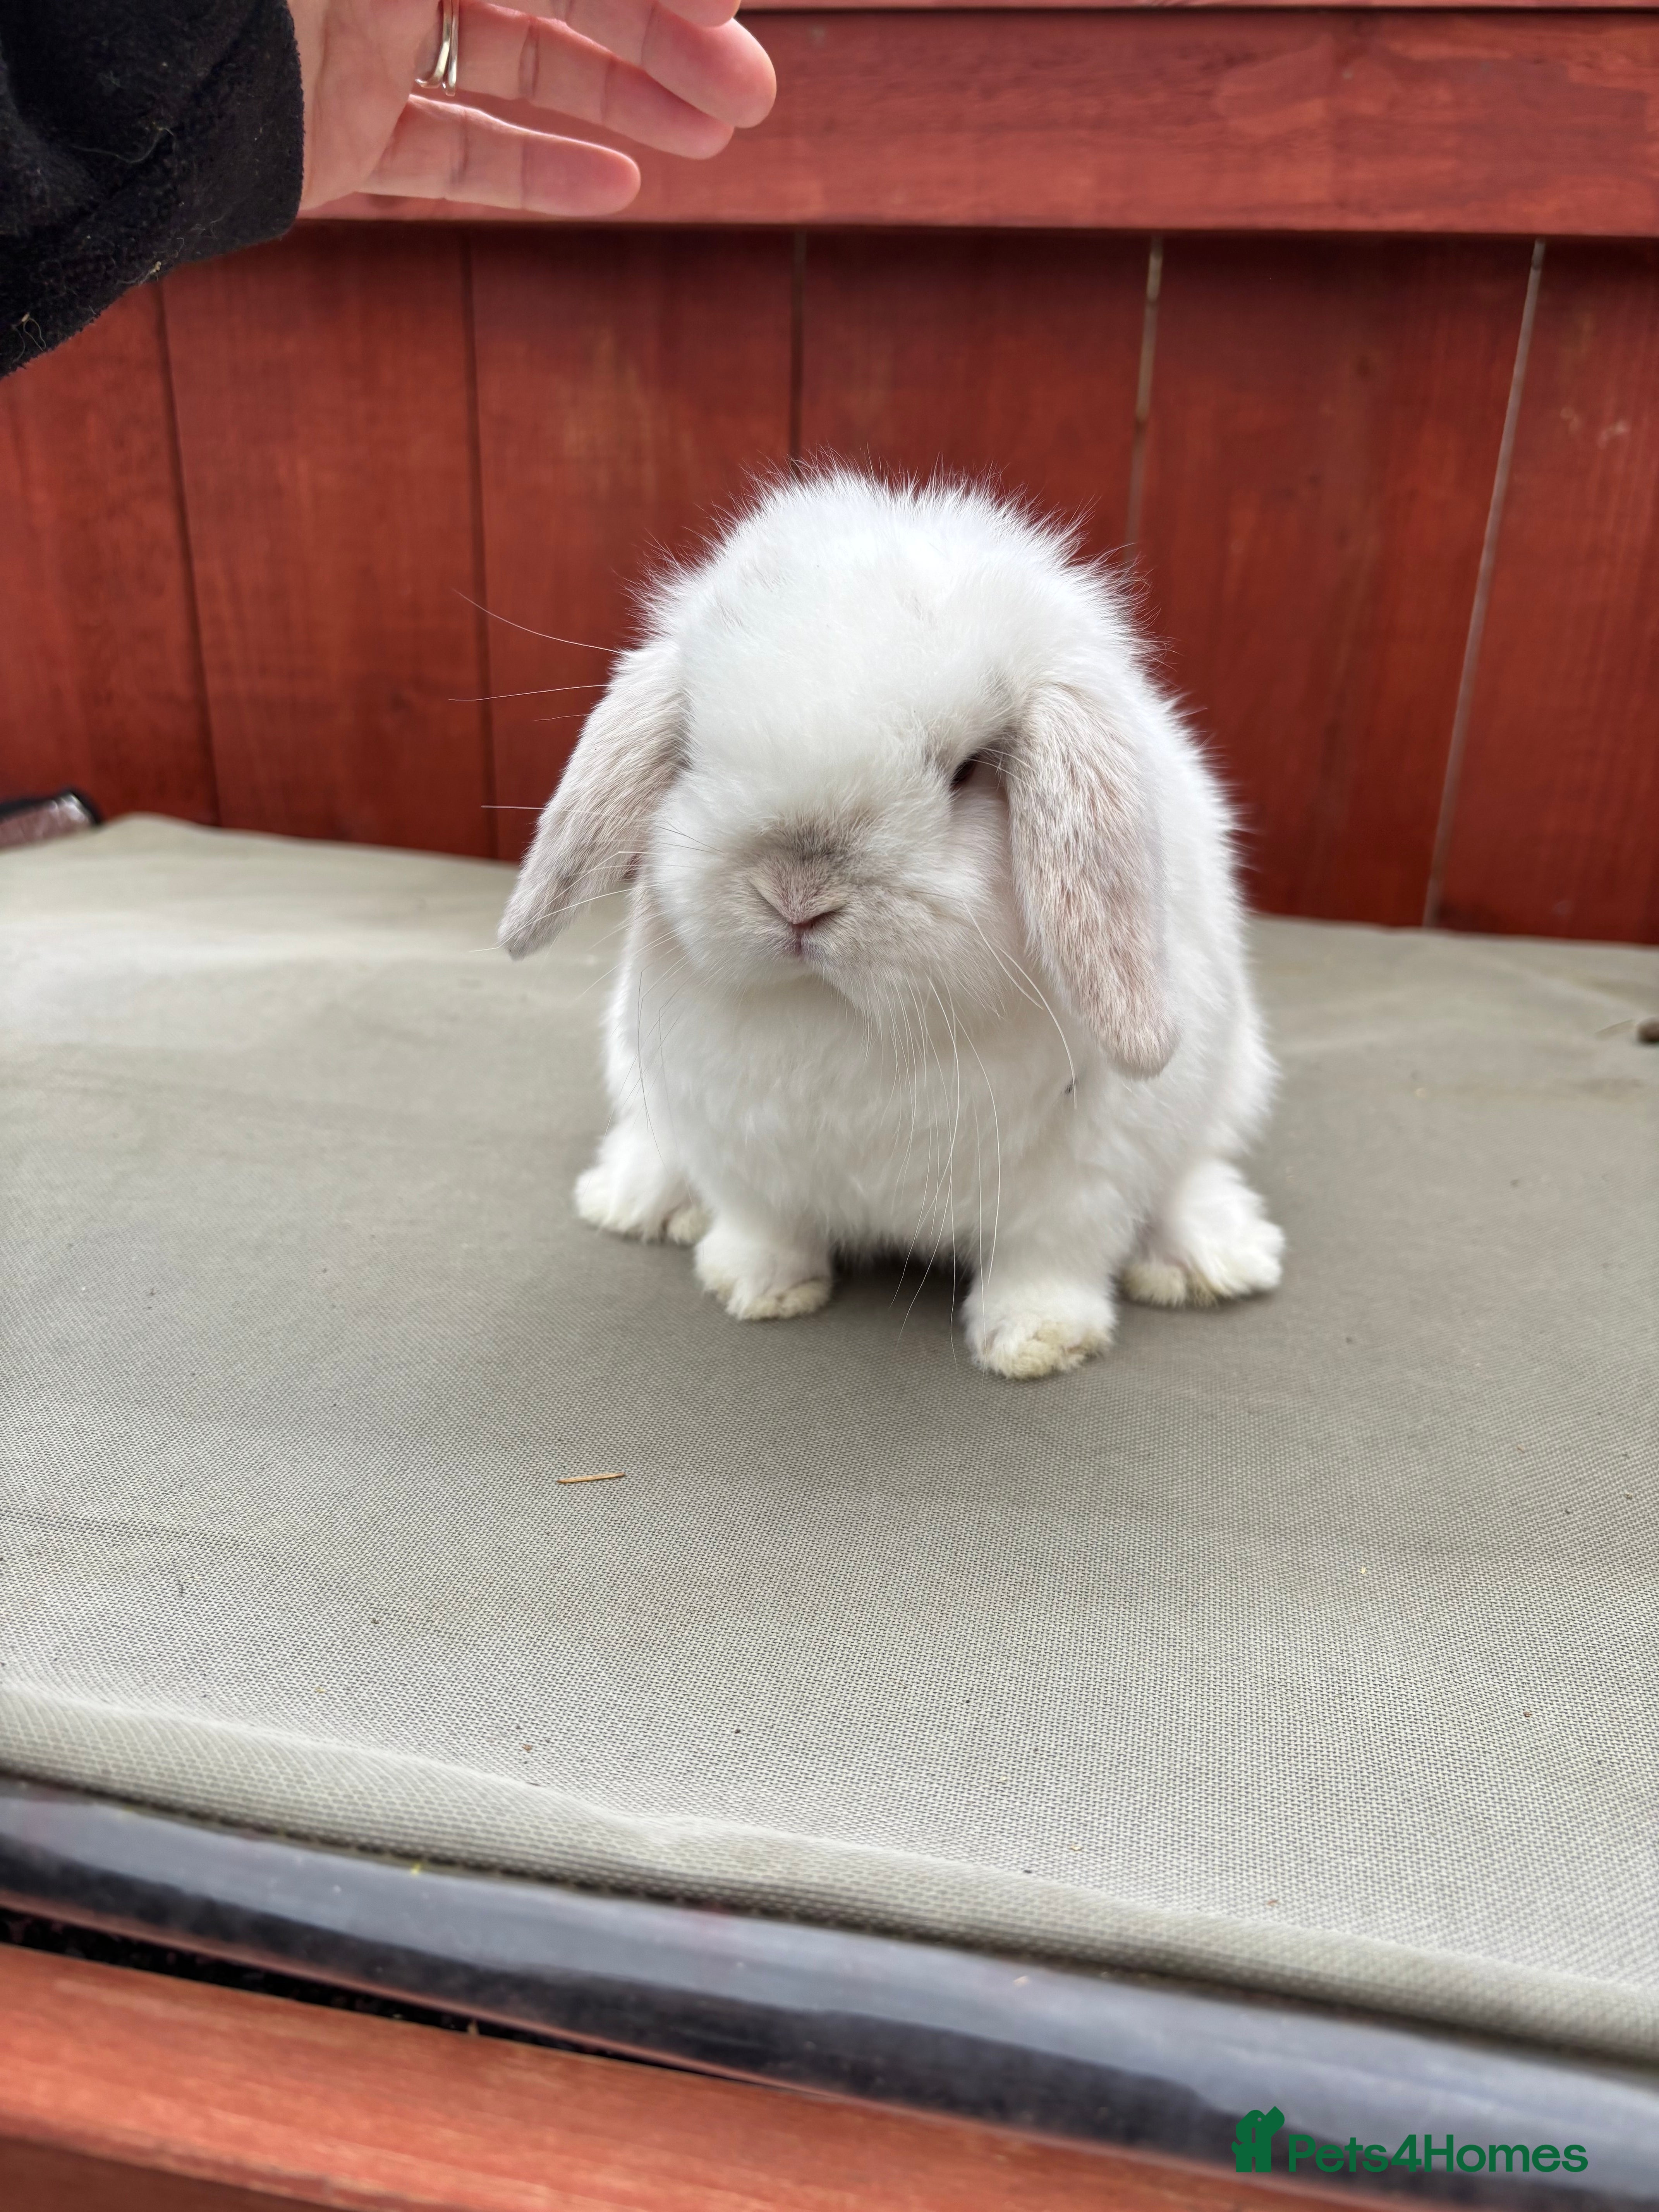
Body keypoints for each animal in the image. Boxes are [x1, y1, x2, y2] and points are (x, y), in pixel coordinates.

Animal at [500, 471, 1283, 1378]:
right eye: (692, 750)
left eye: (968, 770)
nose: (796, 895)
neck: (850, 1019)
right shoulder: (739, 1150)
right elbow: (765, 1224)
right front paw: (757, 1288)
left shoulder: (1080, 1182)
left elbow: (1049, 1259)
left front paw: (1037, 1343)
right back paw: (634, 1199)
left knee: (1191, 1171)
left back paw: (1210, 1257)